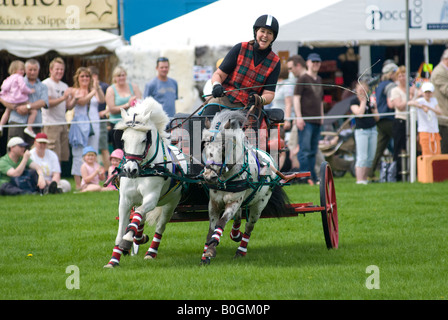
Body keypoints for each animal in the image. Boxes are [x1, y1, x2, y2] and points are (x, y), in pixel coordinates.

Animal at [104, 97, 186, 268]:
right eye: (123, 139)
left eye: (143, 140)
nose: (130, 170)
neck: (143, 170)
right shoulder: (125, 200)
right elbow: (122, 230)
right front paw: (113, 260)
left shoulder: (151, 198)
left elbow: (138, 216)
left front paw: (128, 239)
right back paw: (139, 238)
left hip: (171, 204)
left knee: (159, 226)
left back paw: (150, 252)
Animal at [201, 109, 288, 264]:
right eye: (205, 145)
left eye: (224, 147)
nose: (209, 176)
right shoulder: (214, 203)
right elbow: (211, 228)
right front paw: (206, 254)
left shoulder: (234, 202)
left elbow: (221, 223)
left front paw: (211, 249)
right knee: (237, 219)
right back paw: (236, 234)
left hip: (259, 204)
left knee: (249, 226)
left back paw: (241, 250)